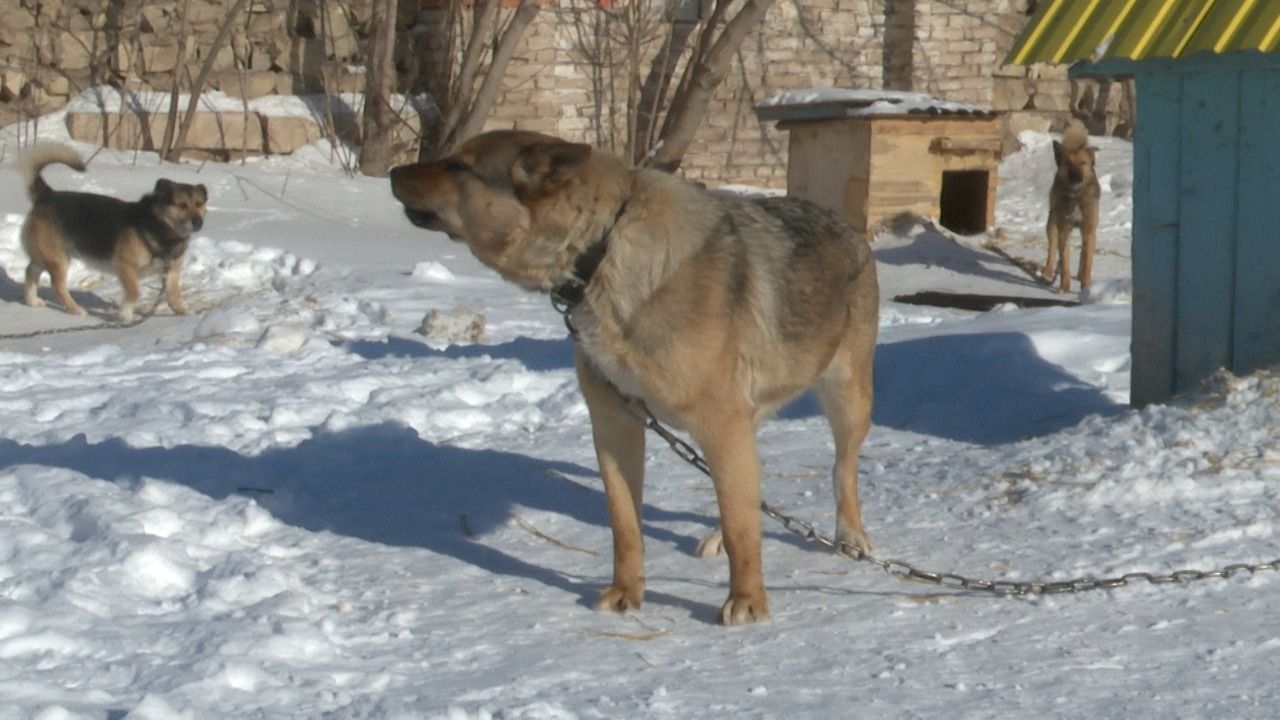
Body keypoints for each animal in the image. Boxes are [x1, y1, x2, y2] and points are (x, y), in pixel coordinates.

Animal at [17, 142, 206, 319]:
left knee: (30, 271)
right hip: (58, 260)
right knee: (57, 285)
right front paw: (125, 315)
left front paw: (183, 312)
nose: (199, 222)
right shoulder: (125, 266)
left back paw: (32, 301)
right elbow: (134, 292)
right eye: (182, 205)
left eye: (199, 204)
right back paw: (75, 309)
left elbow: (174, 296)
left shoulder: (172, 272)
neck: (161, 228)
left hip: (45, 256)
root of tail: (46, 195)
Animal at [389, 130, 880, 622]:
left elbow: (743, 528)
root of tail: (842, 222)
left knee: (839, 471)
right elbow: (627, 526)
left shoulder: (721, 424)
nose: (393, 172)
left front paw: (747, 600)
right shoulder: (616, 426)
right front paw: (626, 592)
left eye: (459, 167)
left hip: (846, 400)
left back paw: (850, 536)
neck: (599, 253)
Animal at [1039, 117, 1100, 292]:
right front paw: (1064, 286)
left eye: (1082, 163)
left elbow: (1087, 259)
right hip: (1052, 223)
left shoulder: (1089, 229)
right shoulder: (1064, 229)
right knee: (1052, 250)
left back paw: (1081, 275)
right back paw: (1047, 272)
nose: (1076, 177)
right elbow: (1064, 260)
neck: (1076, 197)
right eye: (1068, 164)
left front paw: (1086, 285)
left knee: (1084, 254)